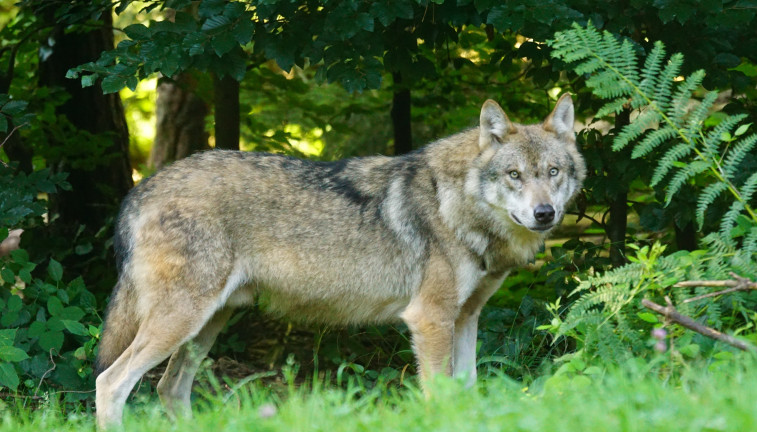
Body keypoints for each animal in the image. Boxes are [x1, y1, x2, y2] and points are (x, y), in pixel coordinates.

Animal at [95, 94, 585, 428]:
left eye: (553, 172)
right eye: (514, 175)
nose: (545, 214)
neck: (456, 204)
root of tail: (141, 188)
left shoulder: (465, 318)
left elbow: (467, 393)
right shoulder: (430, 319)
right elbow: (439, 397)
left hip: (206, 325)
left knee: (169, 388)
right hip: (182, 321)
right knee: (111, 383)